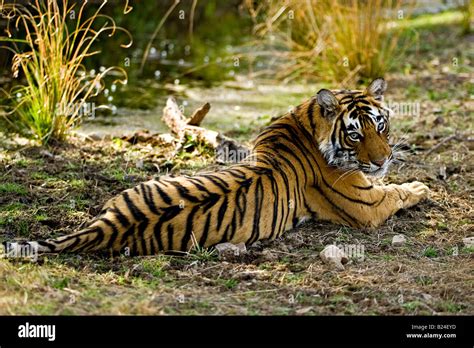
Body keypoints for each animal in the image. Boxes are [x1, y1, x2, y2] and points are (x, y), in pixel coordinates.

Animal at [4, 78, 430, 256]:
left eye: (380, 126)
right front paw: (423, 188)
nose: (382, 160)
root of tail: (110, 226)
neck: (306, 122)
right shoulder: (366, 204)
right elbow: (397, 191)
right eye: (355, 134)